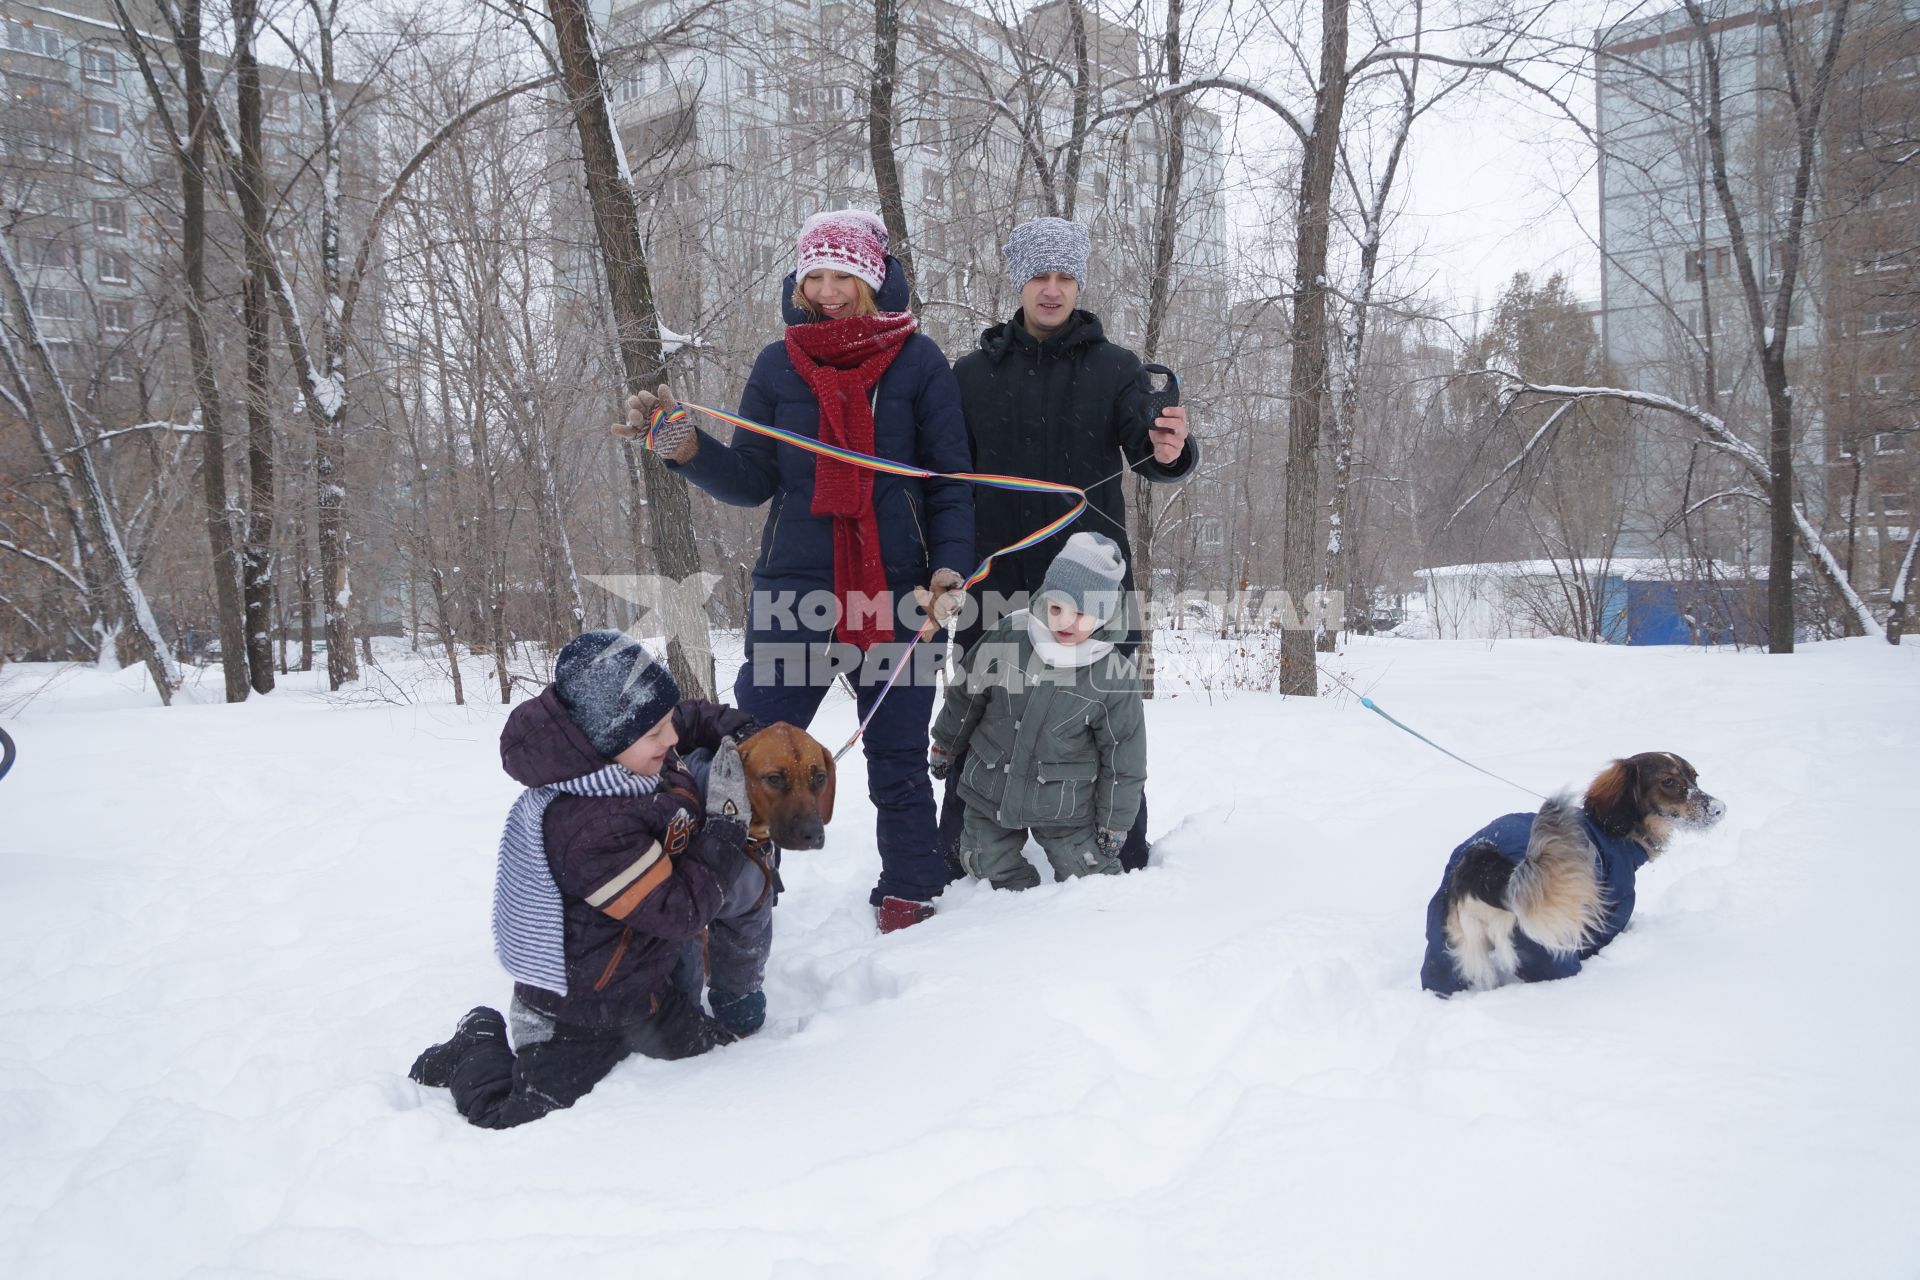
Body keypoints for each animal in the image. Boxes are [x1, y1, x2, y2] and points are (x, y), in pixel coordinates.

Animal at [1428, 756, 1728, 997]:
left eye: (1695, 776)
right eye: (1668, 781)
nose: (1719, 809)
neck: (1612, 830)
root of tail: (1481, 864)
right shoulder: (1614, 907)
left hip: (1446, 953)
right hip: (1543, 950)